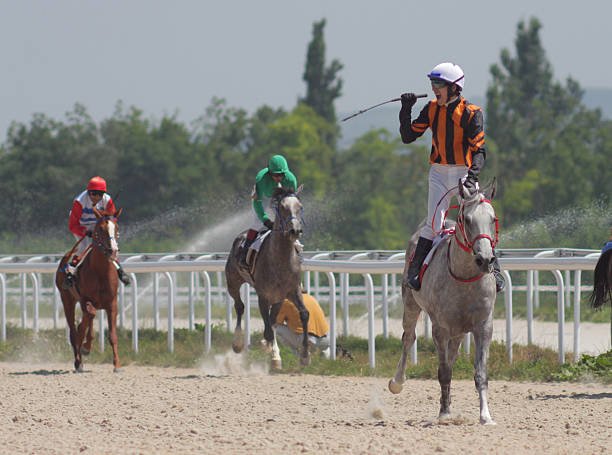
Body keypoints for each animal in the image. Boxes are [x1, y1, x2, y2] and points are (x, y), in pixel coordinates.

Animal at [56, 208, 124, 372]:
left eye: (116, 228)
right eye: (100, 229)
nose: (113, 250)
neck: (100, 272)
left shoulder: (112, 304)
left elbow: (112, 335)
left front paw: (117, 365)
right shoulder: (85, 299)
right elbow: (87, 319)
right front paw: (84, 349)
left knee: (85, 323)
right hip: (67, 300)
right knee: (74, 331)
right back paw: (78, 361)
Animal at [226, 187, 310, 368]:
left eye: (300, 207)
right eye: (283, 207)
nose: (295, 230)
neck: (280, 259)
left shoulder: (291, 291)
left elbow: (304, 314)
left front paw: (305, 355)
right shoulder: (263, 295)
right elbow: (268, 328)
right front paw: (272, 353)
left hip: (278, 298)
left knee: (271, 319)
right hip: (232, 282)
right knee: (240, 306)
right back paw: (237, 343)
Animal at [392, 180, 498, 426]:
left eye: (492, 218)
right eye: (467, 219)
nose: (485, 259)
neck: (464, 277)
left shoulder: (483, 326)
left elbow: (480, 373)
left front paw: (485, 416)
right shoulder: (440, 328)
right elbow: (444, 371)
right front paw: (444, 414)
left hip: (459, 330)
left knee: (452, 354)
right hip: (410, 304)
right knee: (408, 338)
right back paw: (397, 382)